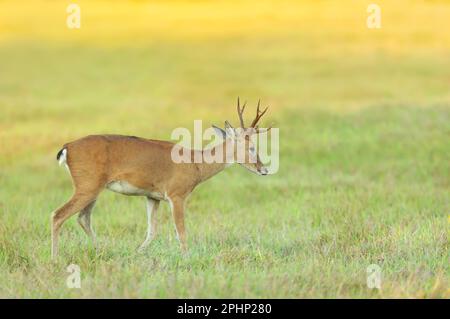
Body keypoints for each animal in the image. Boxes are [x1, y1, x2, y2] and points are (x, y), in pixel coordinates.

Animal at [51, 100, 272, 260]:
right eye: (252, 148)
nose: (264, 169)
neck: (196, 163)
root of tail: (67, 147)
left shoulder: (153, 197)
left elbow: (152, 230)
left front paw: (137, 253)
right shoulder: (177, 195)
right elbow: (181, 231)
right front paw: (186, 259)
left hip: (94, 189)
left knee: (83, 218)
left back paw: (100, 251)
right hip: (87, 186)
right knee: (58, 215)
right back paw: (55, 259)